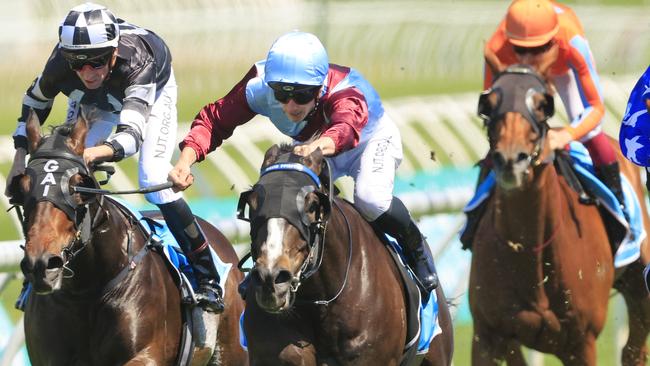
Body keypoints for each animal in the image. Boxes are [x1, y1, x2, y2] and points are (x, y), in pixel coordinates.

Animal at [468, 64, 648, 364]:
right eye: (489, 104)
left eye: (542, 105)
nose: (511, 159)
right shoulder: (488, 335)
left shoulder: (581, 343)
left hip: (639, 280)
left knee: (634, 349)